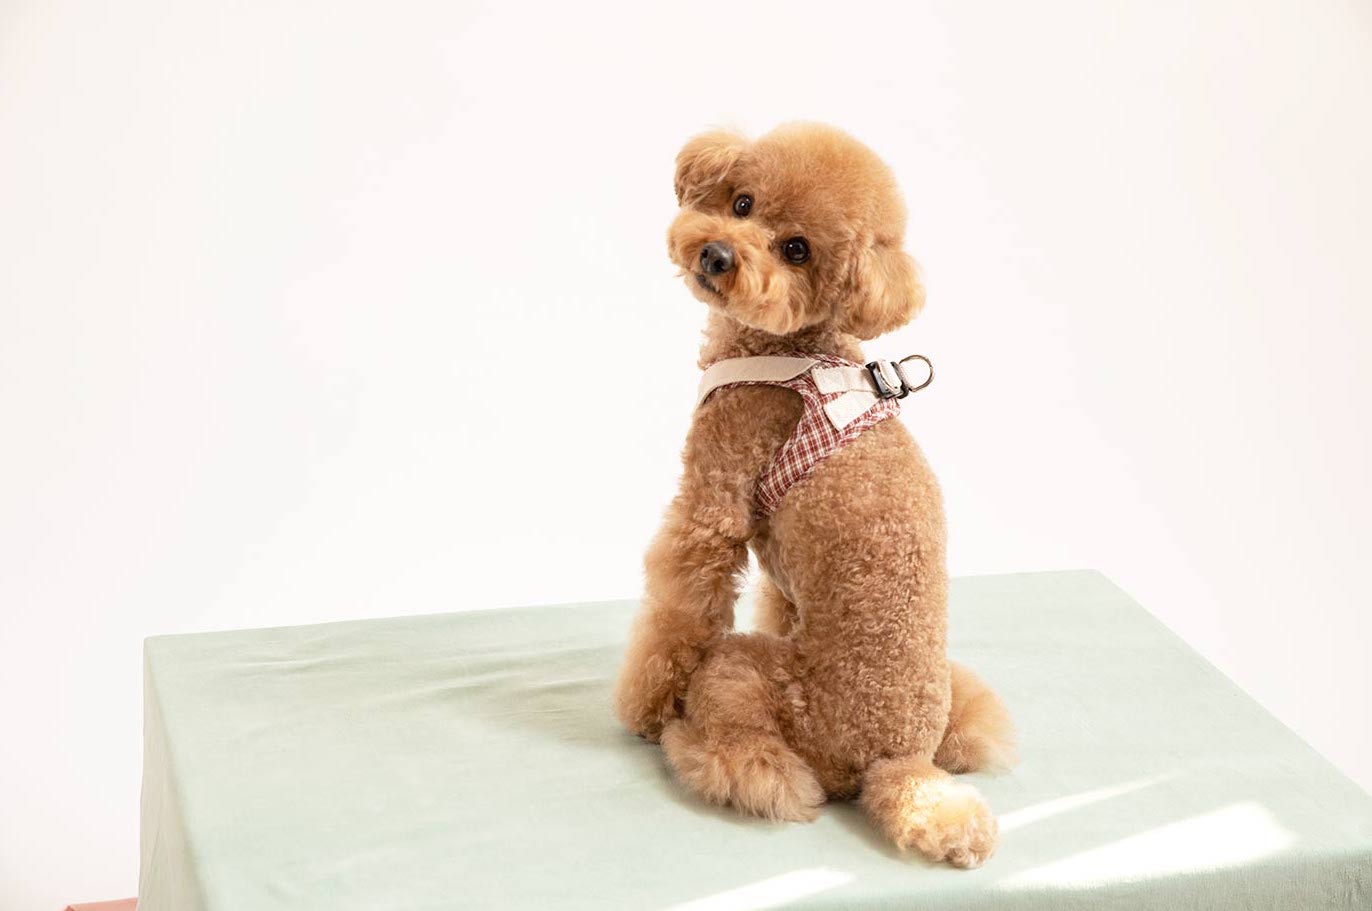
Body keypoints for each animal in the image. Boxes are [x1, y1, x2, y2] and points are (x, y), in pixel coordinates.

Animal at [617, 122, 1015, 867]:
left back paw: (693, 742)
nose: (716, 253)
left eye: (796, 249)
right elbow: (776, 601)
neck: (792, 349)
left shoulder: (713, 497)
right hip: (948, 693)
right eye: (742, 203)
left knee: (758, 760)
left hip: (745, 671)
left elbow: (677, 611)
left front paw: (643, 709)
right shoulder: (782, 576)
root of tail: (895, 759)